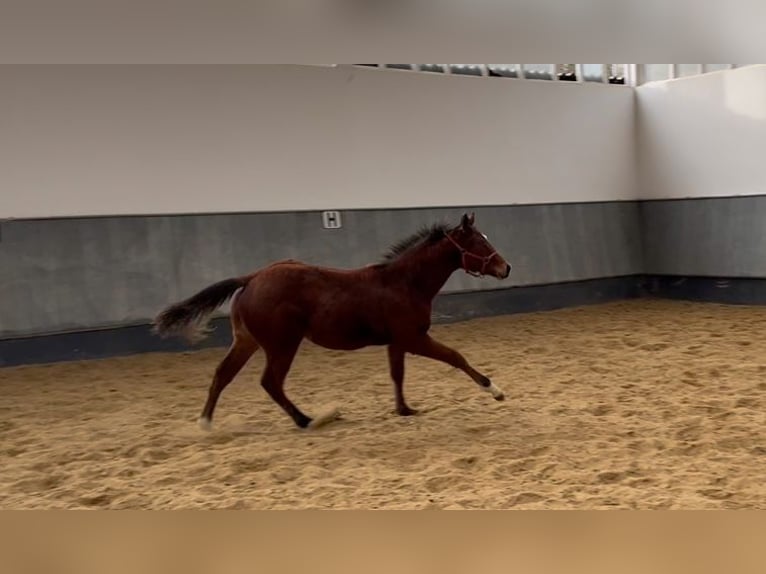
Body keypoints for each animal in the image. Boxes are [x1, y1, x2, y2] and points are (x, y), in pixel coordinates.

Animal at [153, 214, 512, 430]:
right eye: (479, 242)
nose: (506, 268)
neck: (404, 283)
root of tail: (252, 277)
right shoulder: (413, 338)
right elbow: (455, 356)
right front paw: (495, 390)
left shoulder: (397, 342)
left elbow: (397, 374)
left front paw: (405, 410)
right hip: (282, 344)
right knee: (270, 382)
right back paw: (306, 420)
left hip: (247, 341)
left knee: (223, 374)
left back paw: (206, 424)